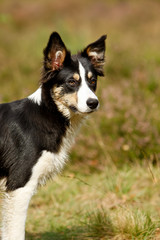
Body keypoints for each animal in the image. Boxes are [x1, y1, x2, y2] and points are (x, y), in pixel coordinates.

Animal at [0, 32, 107, 240]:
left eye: (92, 81)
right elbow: (15, 232)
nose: (93, 103)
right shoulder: (18, 186)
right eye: (71, 82)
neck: (49, 113)